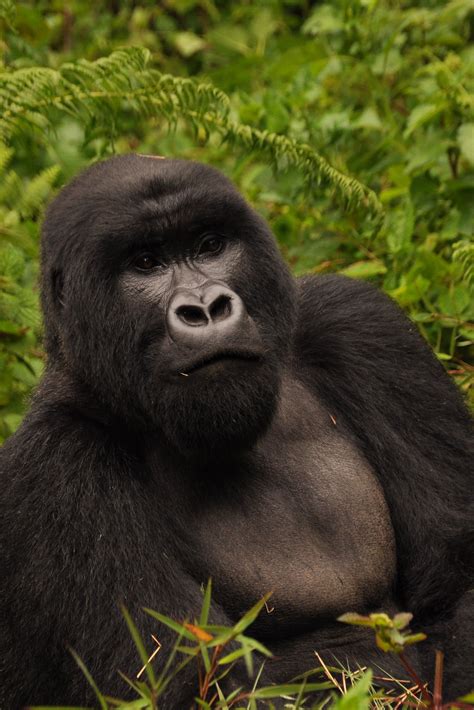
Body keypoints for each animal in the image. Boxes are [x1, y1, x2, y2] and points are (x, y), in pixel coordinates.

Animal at [0, 154, 472, 708]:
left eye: (210, 245)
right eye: (146, 263)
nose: (206, 309)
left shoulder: (359, 324)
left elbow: (456, 584)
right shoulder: (56, 468)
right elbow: (196, 683)